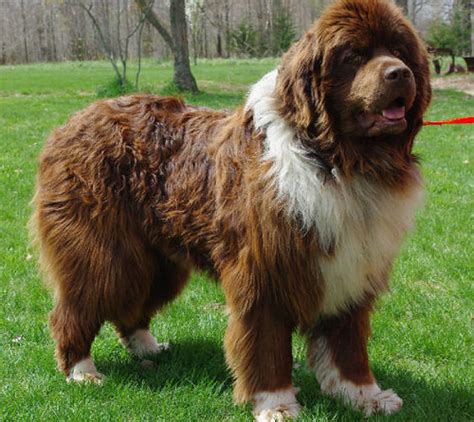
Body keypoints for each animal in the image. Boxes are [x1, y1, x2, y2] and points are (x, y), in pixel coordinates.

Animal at [29, 1, 430, 420]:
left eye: (399, 51)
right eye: (353, 56)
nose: (399, 73)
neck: (334, 161)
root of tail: (70, 123)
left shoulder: (349, 270)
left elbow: (347, 345)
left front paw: (365, 395)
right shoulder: (265, 272)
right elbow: (266, 345)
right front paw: (276, 404)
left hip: (156, 260)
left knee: (132, 305)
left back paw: (147, 347)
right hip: (103, 253)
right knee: (76, 306)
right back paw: (81, 369)